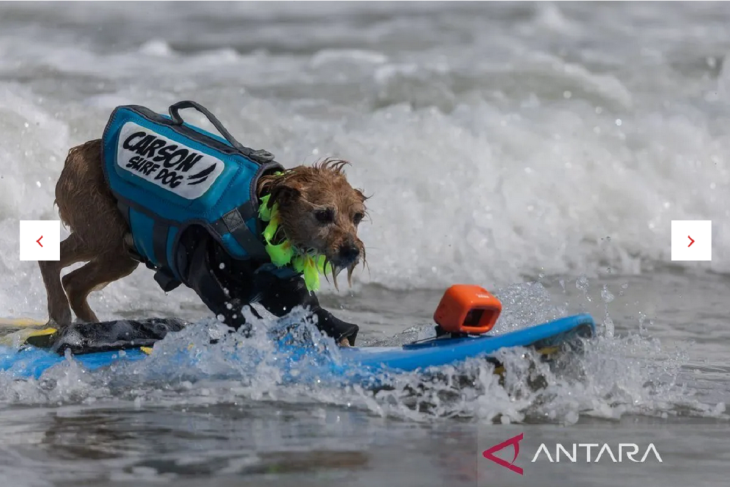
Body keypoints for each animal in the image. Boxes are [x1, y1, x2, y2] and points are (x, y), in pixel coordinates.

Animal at [38, 137, 364, 344]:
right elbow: (235, 314)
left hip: (120, 254)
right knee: (50, 260)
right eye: (323, 214)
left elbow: (311, 311)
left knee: (74, 282)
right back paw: (61, 314)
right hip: (103, 232)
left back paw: (91, 325)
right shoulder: (206, 277)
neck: (261, 218)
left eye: (358, 216)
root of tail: (76, 153)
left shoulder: (281, 289)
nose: (352, 251)